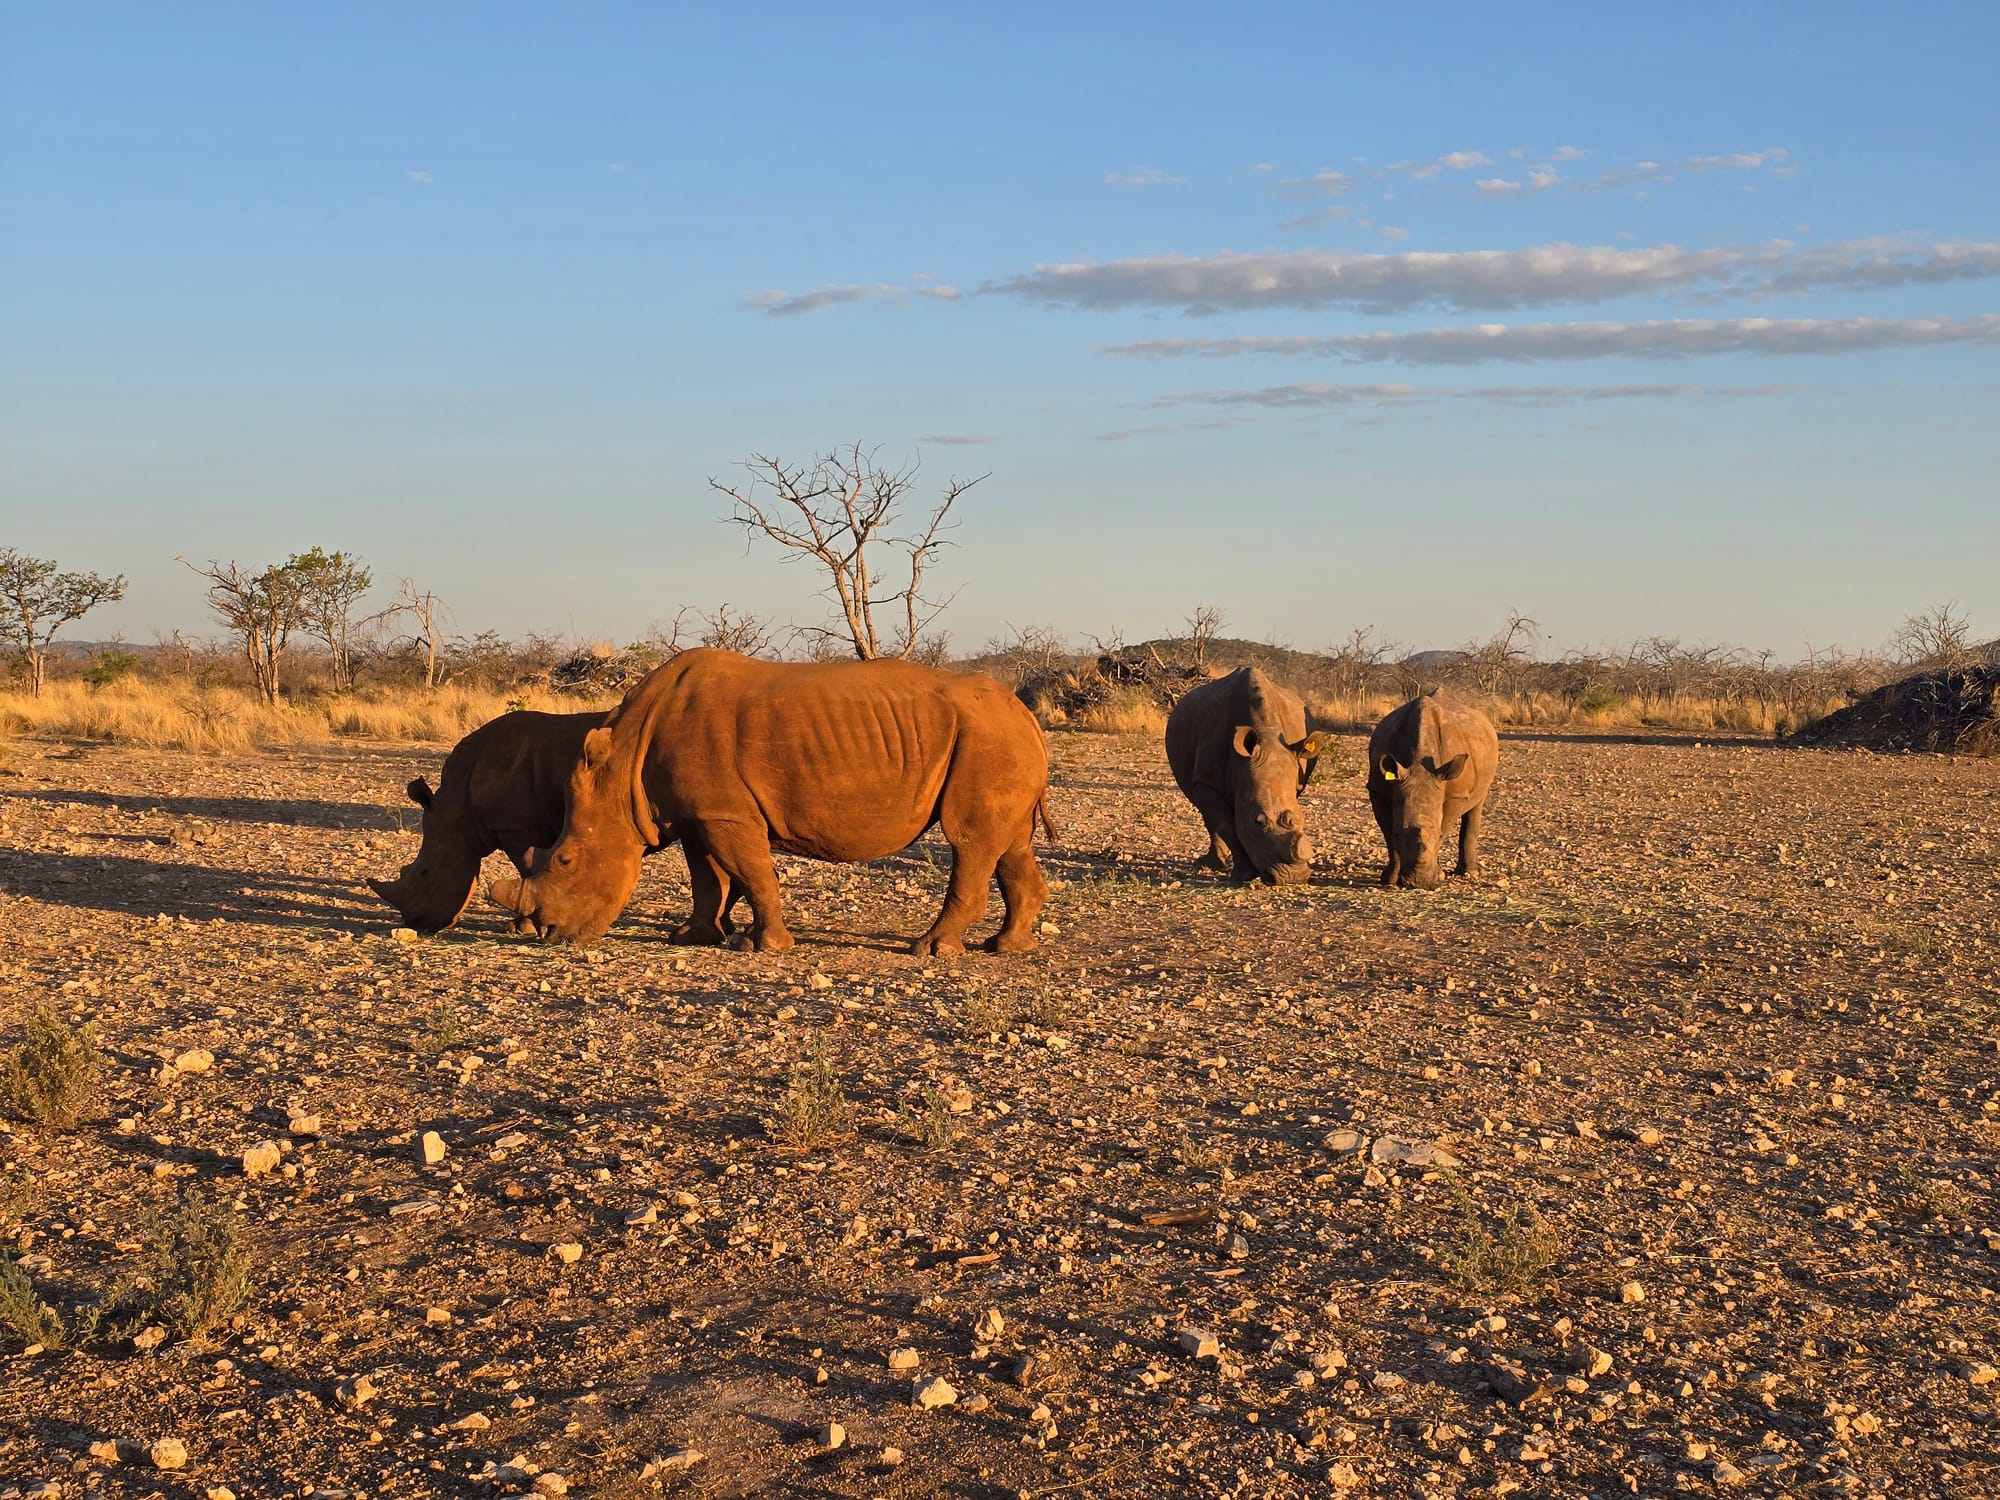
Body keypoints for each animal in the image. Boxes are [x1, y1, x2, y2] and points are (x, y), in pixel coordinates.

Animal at [498, 649, 1054, 955]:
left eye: (566, 861)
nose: (546, 933)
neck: (623, 768)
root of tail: (1026, 714)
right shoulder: (697, 813)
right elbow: (709, 878)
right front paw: (691, 937)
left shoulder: (724, 812)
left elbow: (751, 872)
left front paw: (762, 946)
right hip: (999, 740)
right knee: (1009, 843)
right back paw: (1007, 947)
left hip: (987, 740)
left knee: (970, 840)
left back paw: (930, 951)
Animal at [1164, 666, 1321, 885]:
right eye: (1258, 822)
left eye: (1301, 818)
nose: (1293, 877)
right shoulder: (1206, 781)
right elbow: (1227, 825)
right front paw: (1245, 875)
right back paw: (1208, 865)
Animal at [1367, 690, 1499, 890]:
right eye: (1399, 834)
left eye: (1437, 835)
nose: (1418, 883)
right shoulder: (1377, 790)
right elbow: (1388, 832)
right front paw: (1389, 879)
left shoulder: (1455, 793)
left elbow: (1444, 825)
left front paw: (1439, 875)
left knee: (1477, 803)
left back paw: (1469, 873)